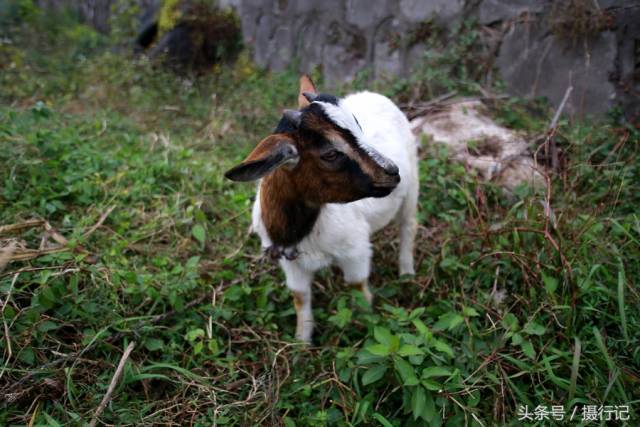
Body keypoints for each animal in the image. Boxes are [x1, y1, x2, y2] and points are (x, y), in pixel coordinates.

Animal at [225, 75, 420, 342]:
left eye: (359, 127)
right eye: (330, 154)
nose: (392, 171)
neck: (302, 230)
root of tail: (375, 95)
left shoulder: (355, 250)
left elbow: (358, 288)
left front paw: (368, 327)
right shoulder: (289, 262)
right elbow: (300, 298)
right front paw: (301, 342)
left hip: (413, 185)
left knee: (408, 226)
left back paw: (407, 273)